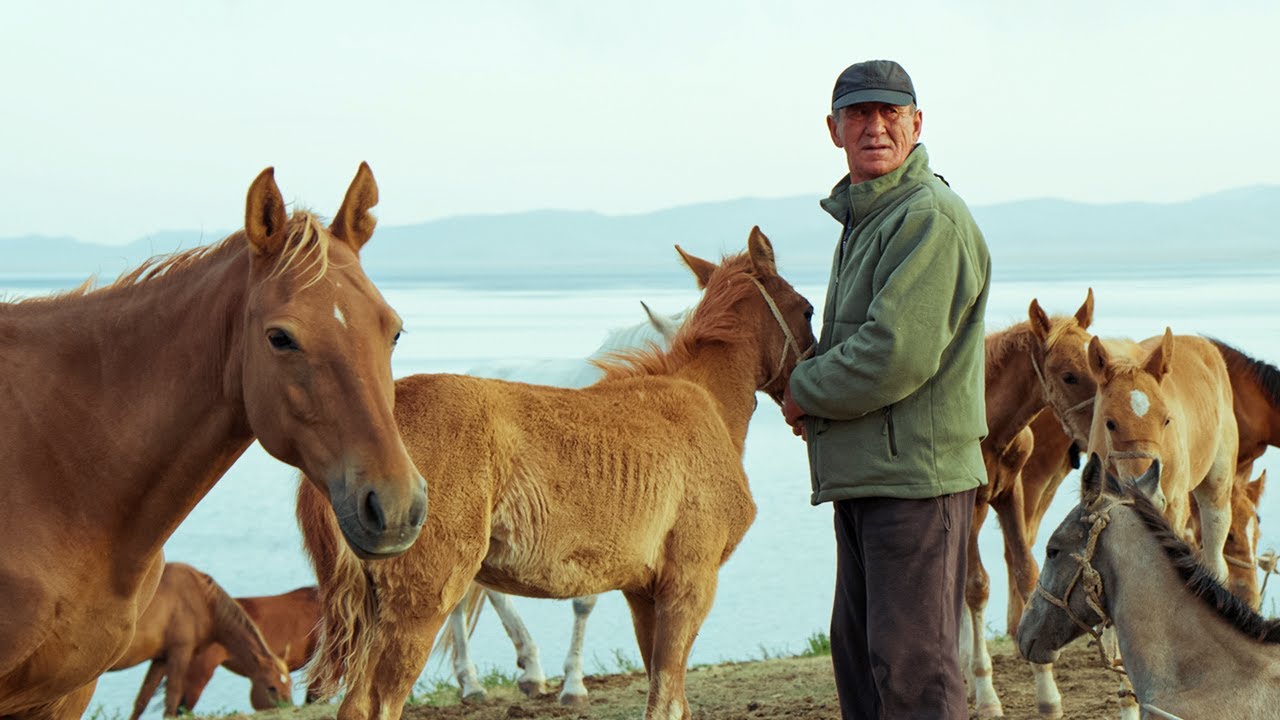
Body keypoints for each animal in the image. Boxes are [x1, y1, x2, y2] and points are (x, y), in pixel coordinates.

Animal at [108, 563, 291, 720]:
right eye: (271, 687)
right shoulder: (180, 652)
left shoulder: (161, 658)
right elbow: (172, 698)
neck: (204, 600)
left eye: (289, 684)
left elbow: (142, 701)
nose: (288, 710)